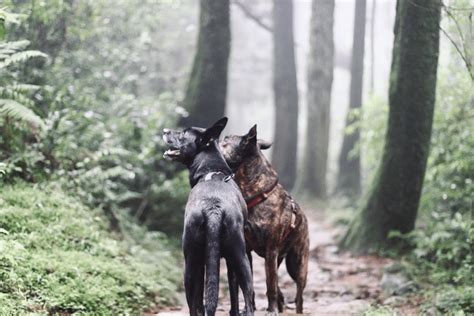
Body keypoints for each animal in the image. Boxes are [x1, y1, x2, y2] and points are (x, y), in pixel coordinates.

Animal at [162, 117, 254, 316]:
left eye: (183, 133)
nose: (164, 130)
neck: (211, 172)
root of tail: (214, 209)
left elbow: (201, 300)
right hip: (240, 258)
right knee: (248, 298)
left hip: (190, 264)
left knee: (194, 305)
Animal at [219, 125, 310, 314]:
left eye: (225, 141)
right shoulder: (246, 251)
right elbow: (249, 284)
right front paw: (249, 309)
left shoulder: (271, 250)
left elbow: (270, 285)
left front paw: (271, 310)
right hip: (279, 260)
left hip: (297, 263)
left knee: (298, 294)